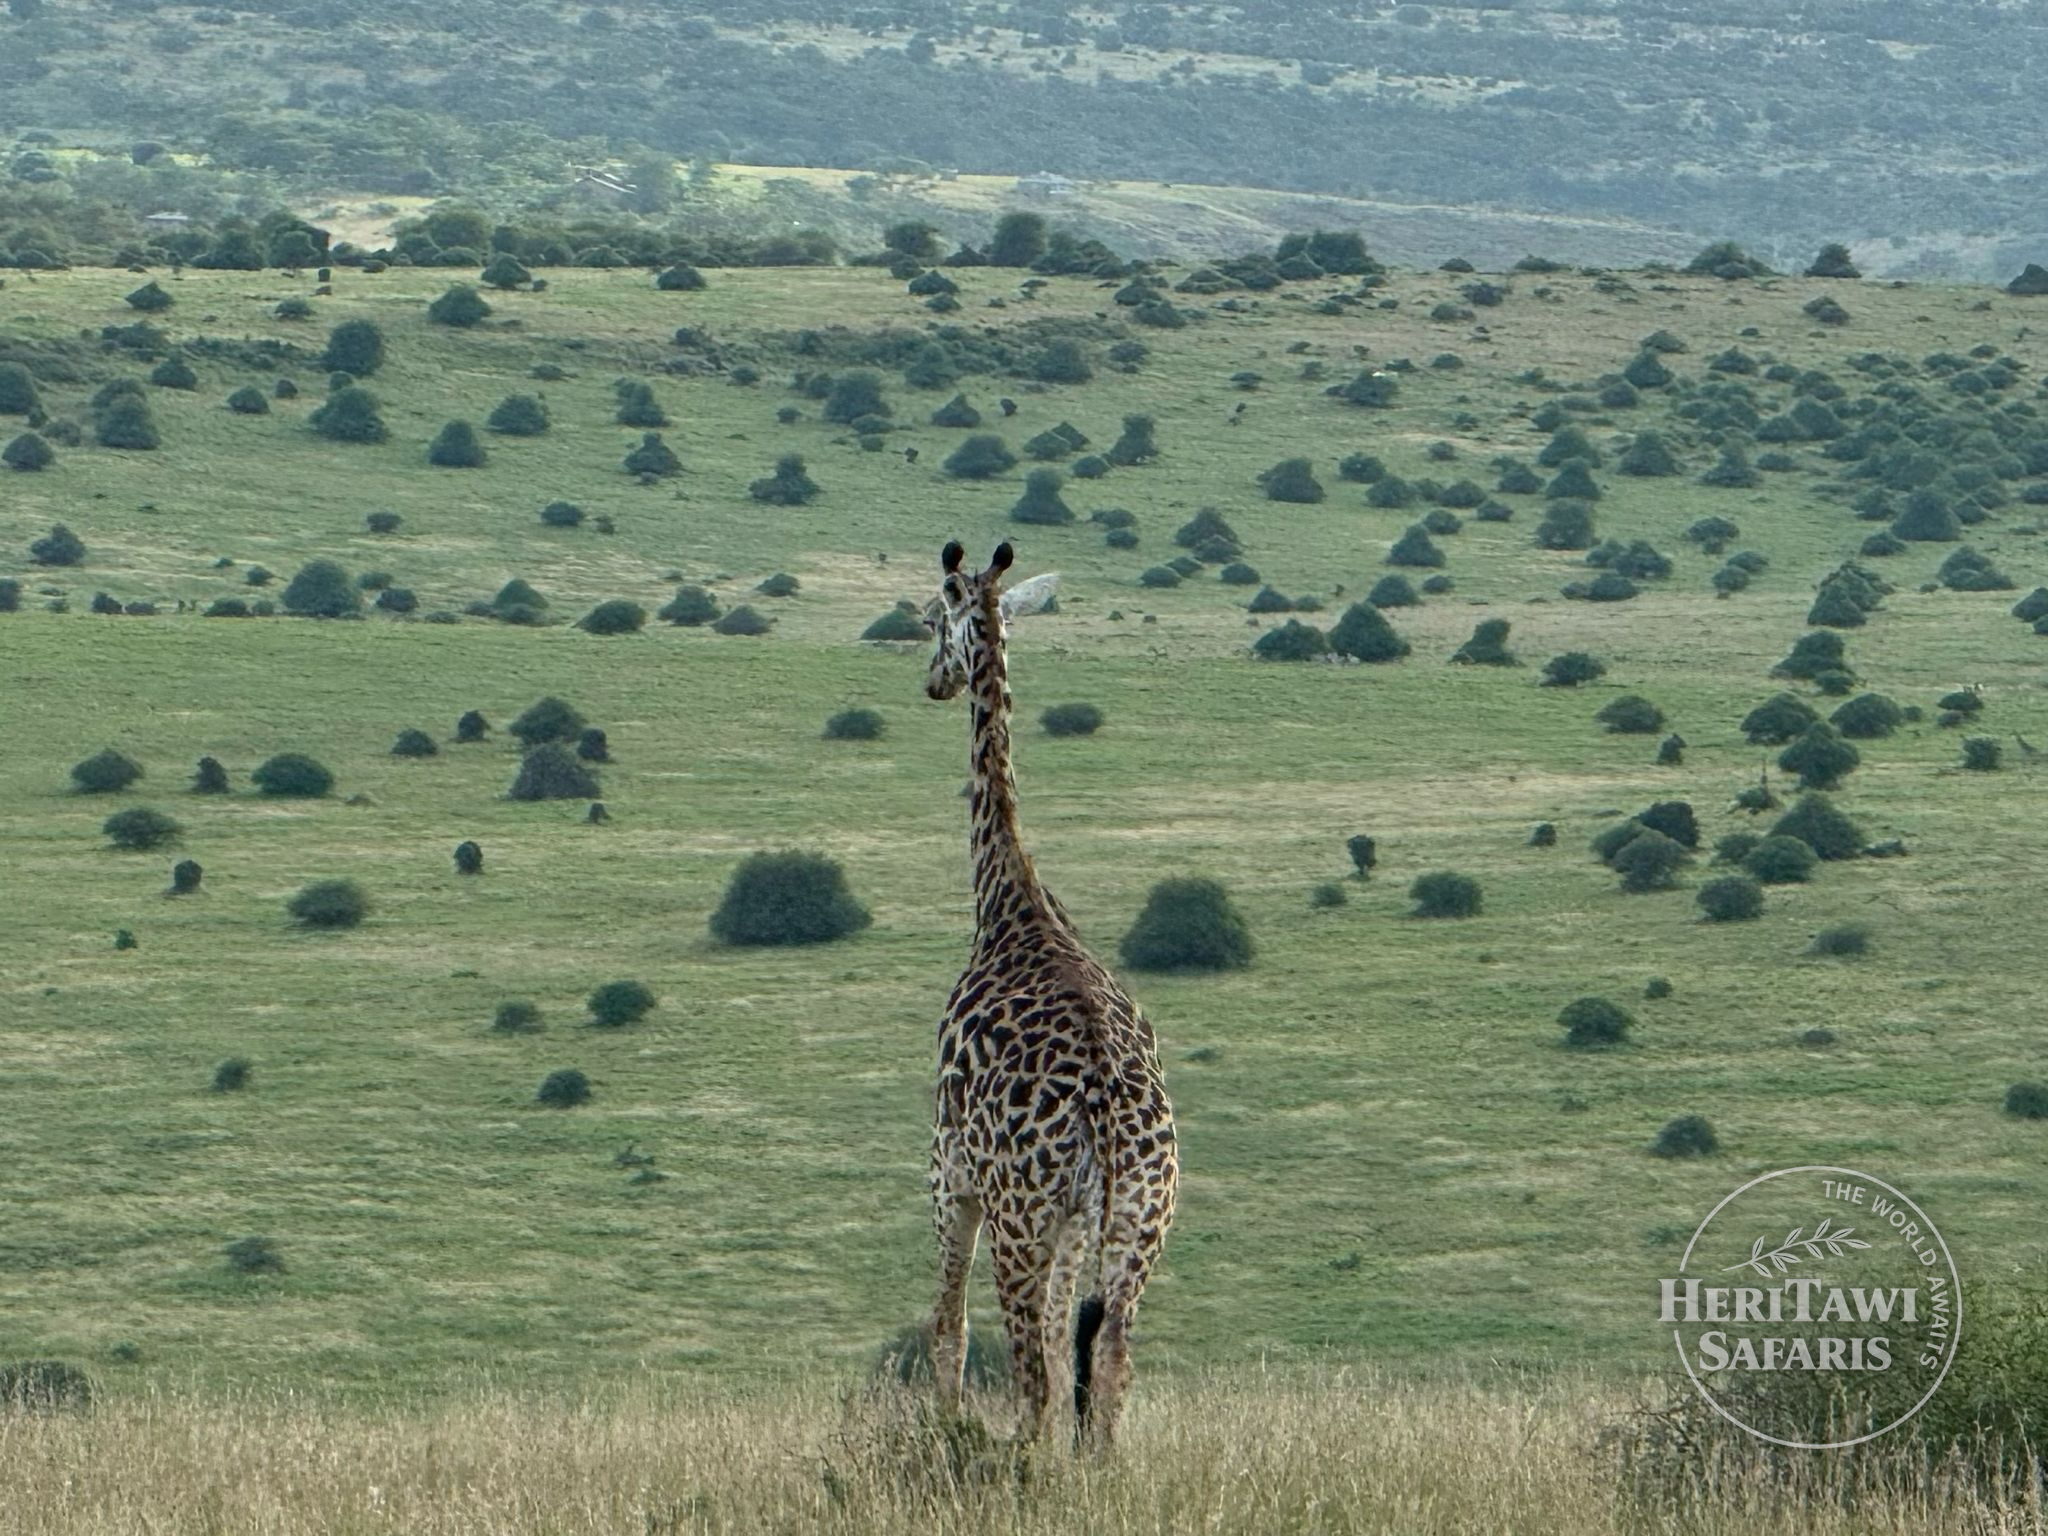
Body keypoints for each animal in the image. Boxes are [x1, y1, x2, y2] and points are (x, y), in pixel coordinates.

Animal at [920, 539, 1179, 1448]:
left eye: (932, 619)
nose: (932, 682)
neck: (1012, 903)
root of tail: (1102, 1116)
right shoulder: (1072, 1223)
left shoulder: (946, 1167)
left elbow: (948, 1330)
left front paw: (943, 1434)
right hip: (1138, 1223)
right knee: (1107, 1360)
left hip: (1019, 1218)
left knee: (1032, 1371)